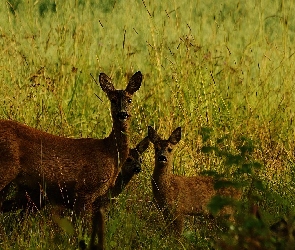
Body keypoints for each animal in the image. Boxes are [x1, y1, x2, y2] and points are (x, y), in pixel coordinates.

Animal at [0, 71, 143, 240]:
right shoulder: (84, 190)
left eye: (129, 99)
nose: (122, 114)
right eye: (113, 99)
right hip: (6, 170)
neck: (111, 154)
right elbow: (80, 230)